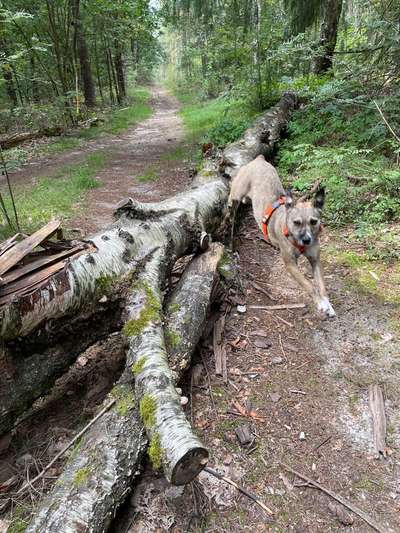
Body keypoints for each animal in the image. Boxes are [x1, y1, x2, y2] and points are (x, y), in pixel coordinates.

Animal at [228, 154, 334, 316]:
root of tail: (258, 159)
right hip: (236, 193)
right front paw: (321, 303)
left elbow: (321, 284)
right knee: (230, 196)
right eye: (296, 222)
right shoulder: (290, 264)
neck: (293, 237)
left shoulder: (315, 260)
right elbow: (309, 284)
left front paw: (327, 303)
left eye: (314, 221)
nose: (307, 240)